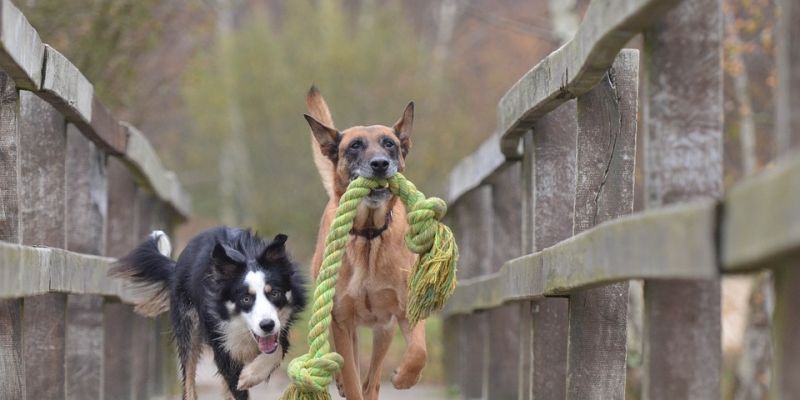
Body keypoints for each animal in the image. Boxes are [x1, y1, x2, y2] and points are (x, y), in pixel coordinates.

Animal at [110, 227, 306, 400]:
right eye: (245, 299)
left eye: (275, 293)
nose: (267, 325)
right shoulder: (221, 343)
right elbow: (235, 384)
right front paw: (246, 378)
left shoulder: (281, 328)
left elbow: (277, 349)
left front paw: (250, 375)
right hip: (188, 325)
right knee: (188, 380)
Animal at [304, 86, 427, 400]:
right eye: (355, 146)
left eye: (389, 144)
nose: (380, 164)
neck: (370, 235)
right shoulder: (341, 320)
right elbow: (350, 376)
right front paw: (345, 381)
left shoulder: (406, 310)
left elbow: (419, 351)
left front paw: (405, 377)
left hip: (384, 330)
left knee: (372, 379)